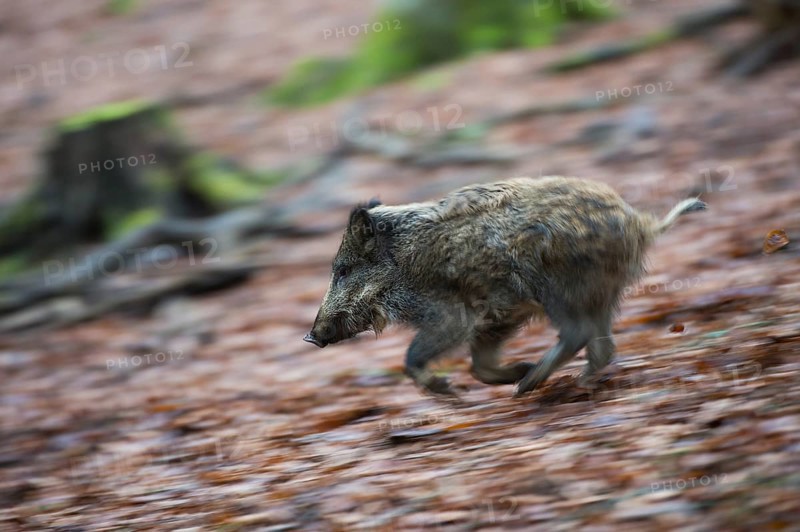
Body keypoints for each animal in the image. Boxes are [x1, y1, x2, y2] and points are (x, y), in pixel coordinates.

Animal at [304, 176, 706, 398]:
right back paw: (568, 380)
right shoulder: (495, 319)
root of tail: (640, 223)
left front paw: (452, 394)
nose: (311, 336)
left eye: (344, 269)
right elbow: (478, 366)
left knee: (577, 333)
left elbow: (414, 357)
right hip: (603, 293)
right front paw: (511, 370)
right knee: (603, 345)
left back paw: (529, 386)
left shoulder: (451, 315)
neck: (401, 264)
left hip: (558, 288)